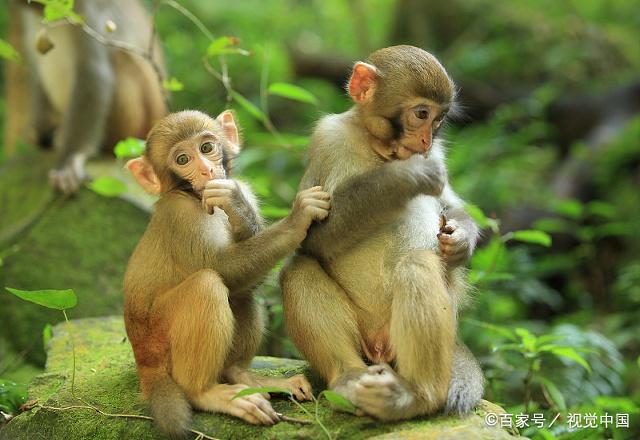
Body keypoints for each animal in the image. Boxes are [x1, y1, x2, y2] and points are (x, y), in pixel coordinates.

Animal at [5, 0, 165, 192]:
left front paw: (70, 160)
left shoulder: (87, 12)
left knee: (120, 57)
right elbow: (36, 71)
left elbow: (93, 73)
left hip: (139, 122)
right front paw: (39, 130)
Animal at [124, 109, 330, 436]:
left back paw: (243, 376)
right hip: (159, 341)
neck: (192, 196)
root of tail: (143, 362)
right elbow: (222, 269)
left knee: (242, 292)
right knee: (207, 284)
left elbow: (247, 277)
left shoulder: (241, 186)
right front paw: (297, 220)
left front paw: (237, 206)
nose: (207, 170)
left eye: (207, 148)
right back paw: (207, 392)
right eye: (183, 159)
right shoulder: (180, 214)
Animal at [280, 46, 480, 422]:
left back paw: (416, 395)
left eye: (439, 121)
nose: (425, 140)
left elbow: (451, 205)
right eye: (421, 114)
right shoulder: (326, 139)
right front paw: (404, 176)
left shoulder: (438, 156)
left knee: (417, 265)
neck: (375, 147)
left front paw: (461, 238)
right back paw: (348, 378)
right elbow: (312, 237)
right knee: (298, 268)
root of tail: (379, 347)